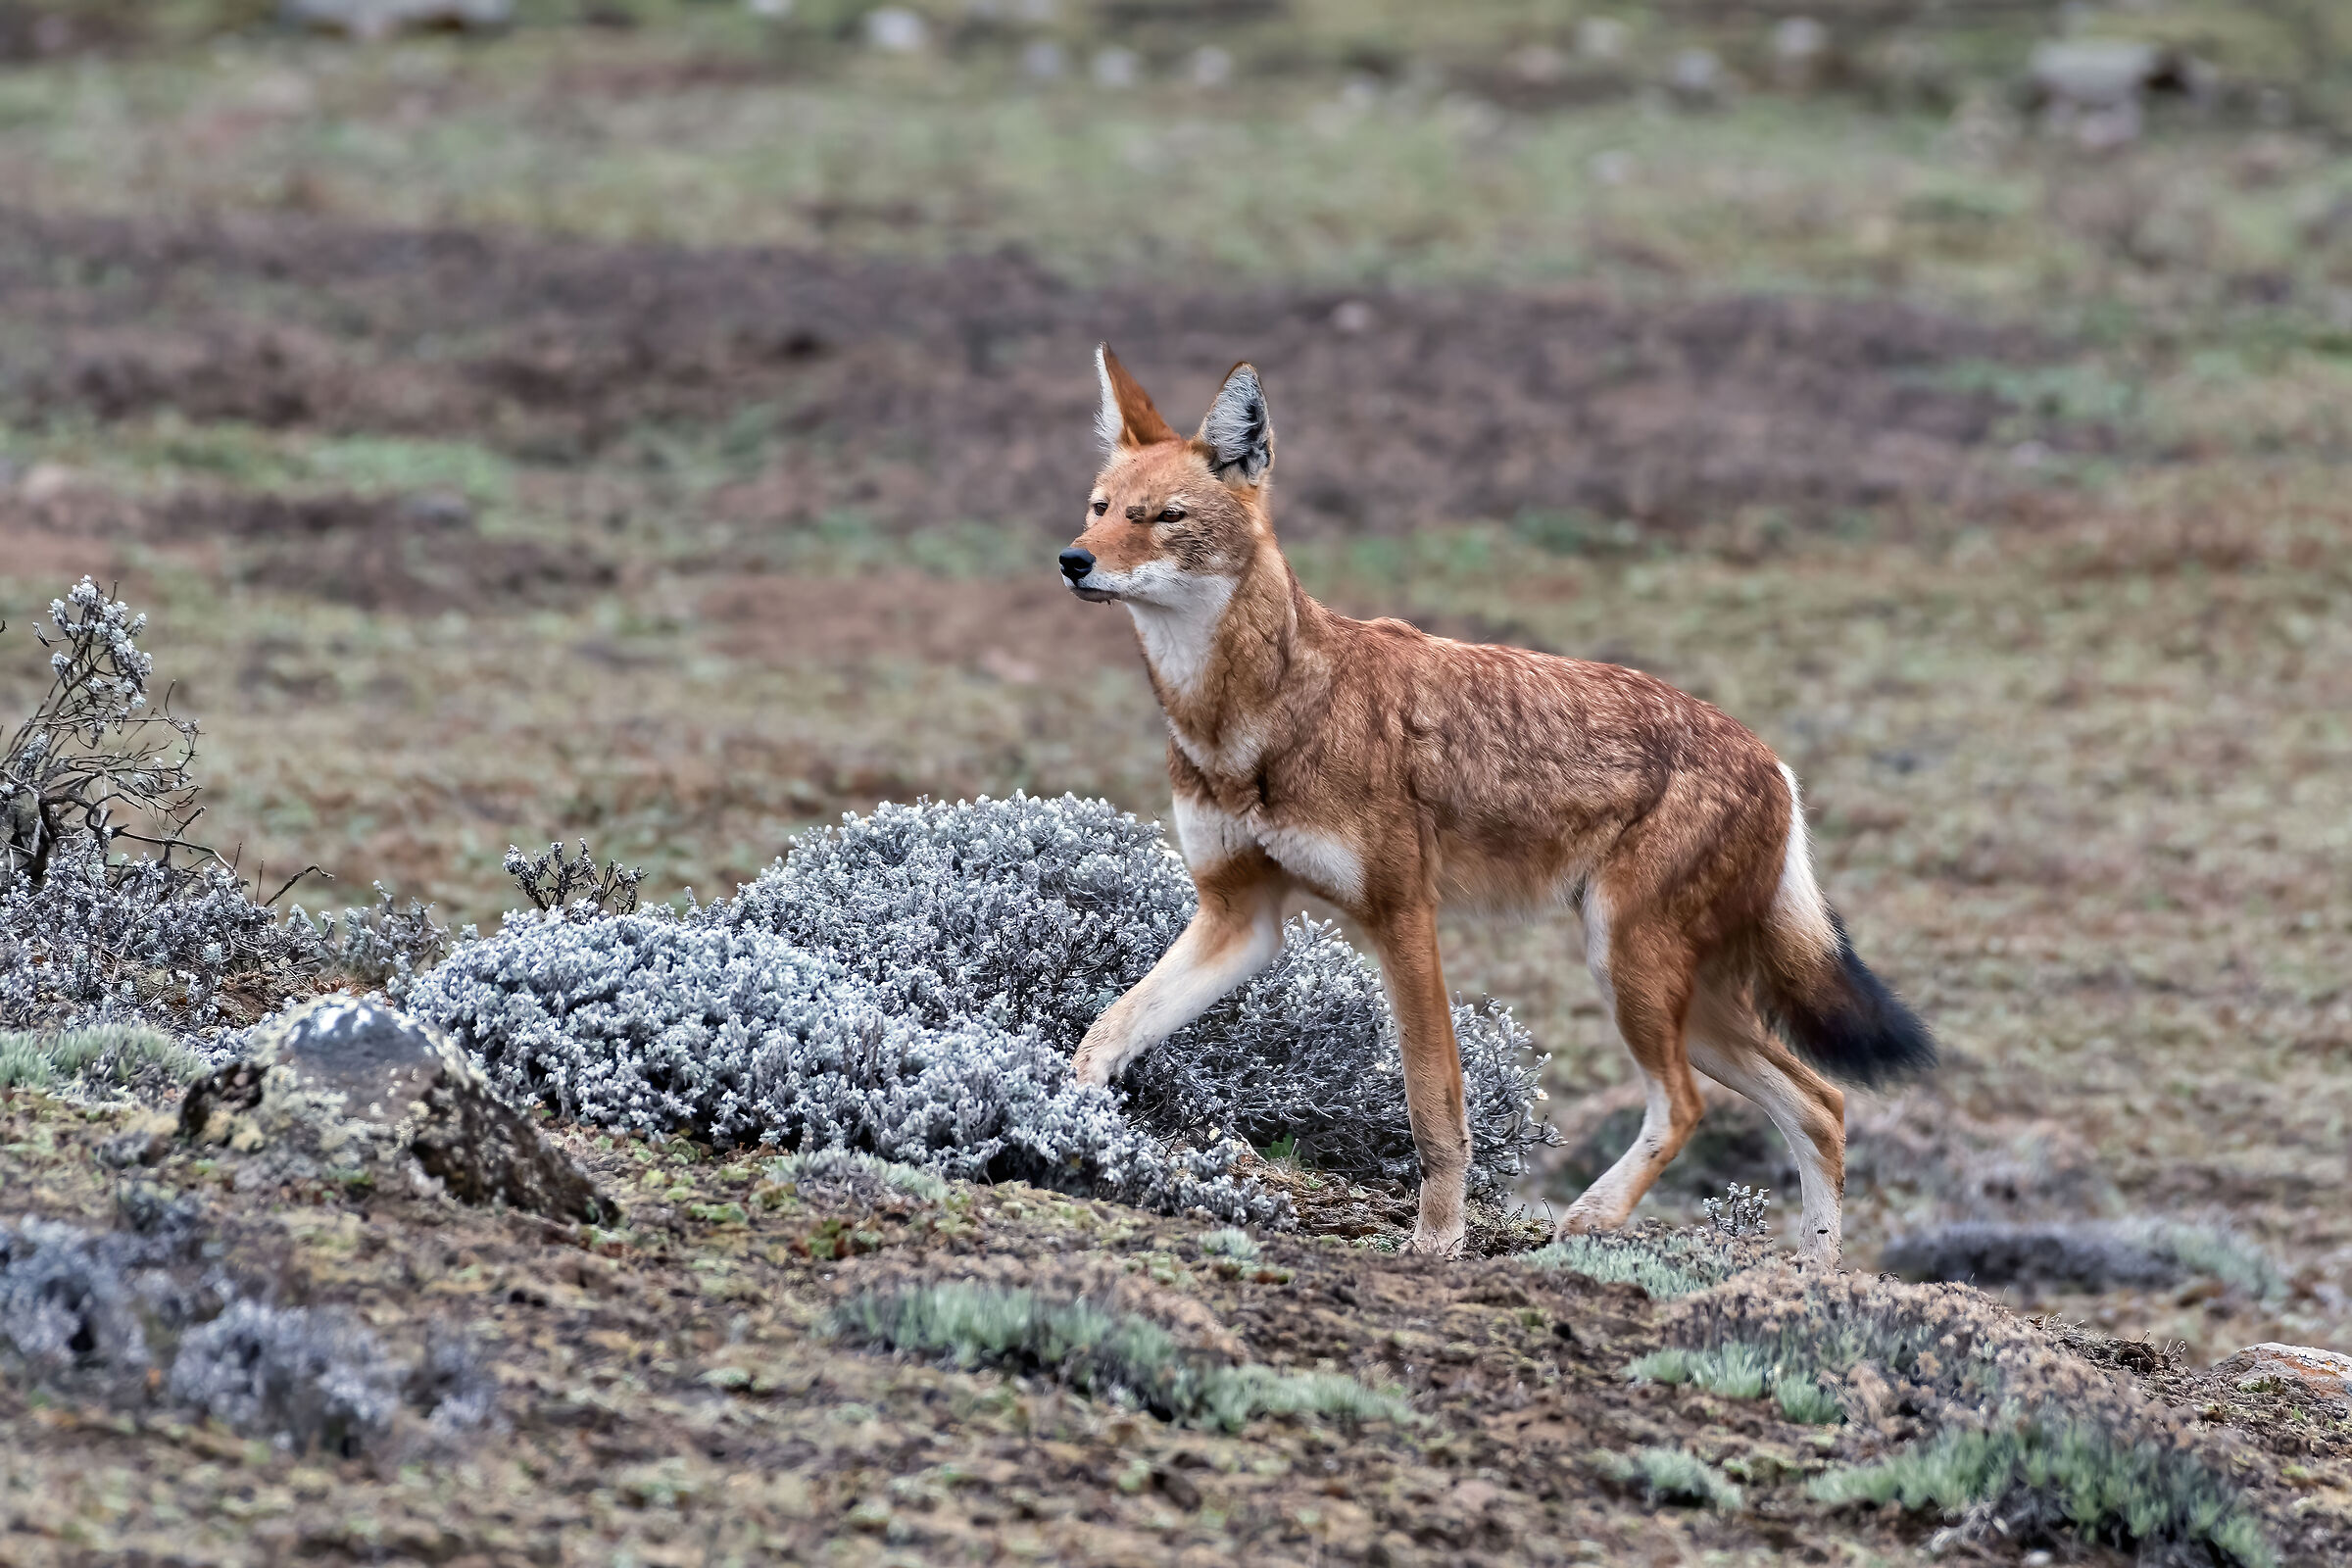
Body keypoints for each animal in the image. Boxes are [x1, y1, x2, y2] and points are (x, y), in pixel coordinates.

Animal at [1059, 347, 1934, 1260]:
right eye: (1099, 508)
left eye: (1165, 517)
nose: (1072, 560)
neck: (1245, 721)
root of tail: (1775, 763)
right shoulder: (1240, 918)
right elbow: (1101, 1035)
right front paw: (1068, 1131)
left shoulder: (1404, 915)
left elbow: (1434, 1106)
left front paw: (1437, 1244)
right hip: (1680, 1001)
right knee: (1823, 1106)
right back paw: (1810, 1274)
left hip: (1630, 973)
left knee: (1691, 1106)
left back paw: (1590, 1223)